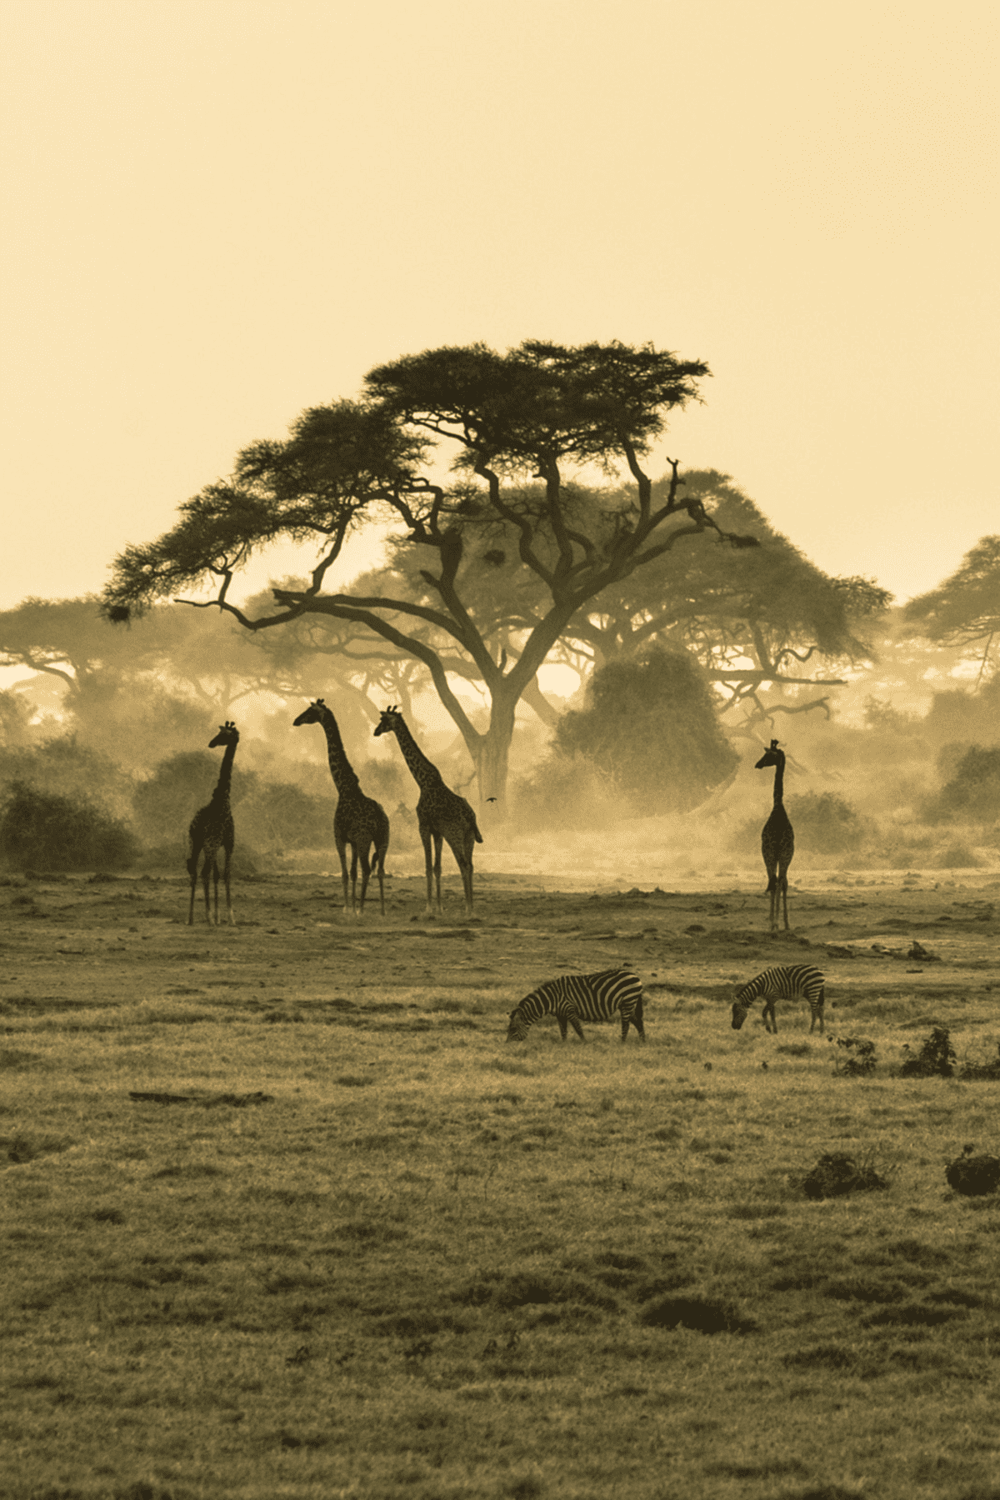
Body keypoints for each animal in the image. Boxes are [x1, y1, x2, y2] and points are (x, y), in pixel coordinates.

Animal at [187, 721, 239, 927]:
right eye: (220, 732)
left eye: (225, 734)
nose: (211, 743)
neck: (222, 798)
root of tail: (197, 825)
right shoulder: (227, 842)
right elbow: (226, 874)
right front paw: (230, 917)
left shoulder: (217, 844)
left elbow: (218, 874)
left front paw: (219, 916)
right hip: (209, 844)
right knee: (203, 872)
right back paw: (208, 917)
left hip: (195, 842)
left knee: (193, 870)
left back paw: (191, 918)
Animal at [292, 698, 390, 916]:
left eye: (309, 711)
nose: (295, 720)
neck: (344, 788)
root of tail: (381, 819)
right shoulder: (352, 841)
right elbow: (352, 873)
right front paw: (351, 906)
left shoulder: (339, 837)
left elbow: (345, 873)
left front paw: (347, 907)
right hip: (383, 839)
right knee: (379, 870)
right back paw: (380, 910)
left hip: (365, 840)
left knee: (367, 869)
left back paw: (362, 908)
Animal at [373, 705, 483, 917]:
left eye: (384, 720)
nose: (375, 731)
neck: (422, 781)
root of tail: (471, 817)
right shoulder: (437, 831)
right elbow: (437, 867)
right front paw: (439, 907)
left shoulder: (423, 826)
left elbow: (427, 867)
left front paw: (428, 907)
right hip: (469, 837)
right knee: (471, 865)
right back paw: (472, 906)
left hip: (454, 835)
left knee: (464, 865)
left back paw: (468, 908)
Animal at [506, 968, 645, 1043]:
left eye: (513, 1029)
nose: (506, 1044)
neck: (552, 999)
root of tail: (634, 975)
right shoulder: (560, 1014)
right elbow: (563, 1031)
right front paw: (564, 1045)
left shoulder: (569, 1010)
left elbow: (578, 1029)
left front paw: (584, 1043)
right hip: (628, 1003)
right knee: (637, 1021)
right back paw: (642, 1041)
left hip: (628, 1001)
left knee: (626, 1024)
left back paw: (622, 1042)